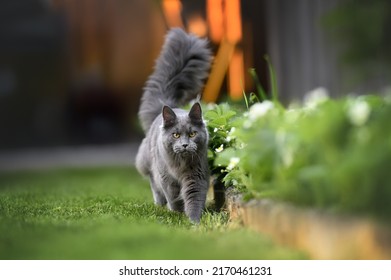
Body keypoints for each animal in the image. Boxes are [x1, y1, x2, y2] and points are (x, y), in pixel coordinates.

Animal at [136, 28, 213, 223]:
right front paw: (177, 213)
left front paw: (194, 221)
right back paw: (160, 204)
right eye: (176, 135)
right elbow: (173, 196)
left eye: (192, 134)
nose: (185, 144)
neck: (181, 166)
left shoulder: (196, 176)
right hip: (148, 163)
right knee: (154, 185)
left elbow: (194, 198)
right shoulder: (166, 178)